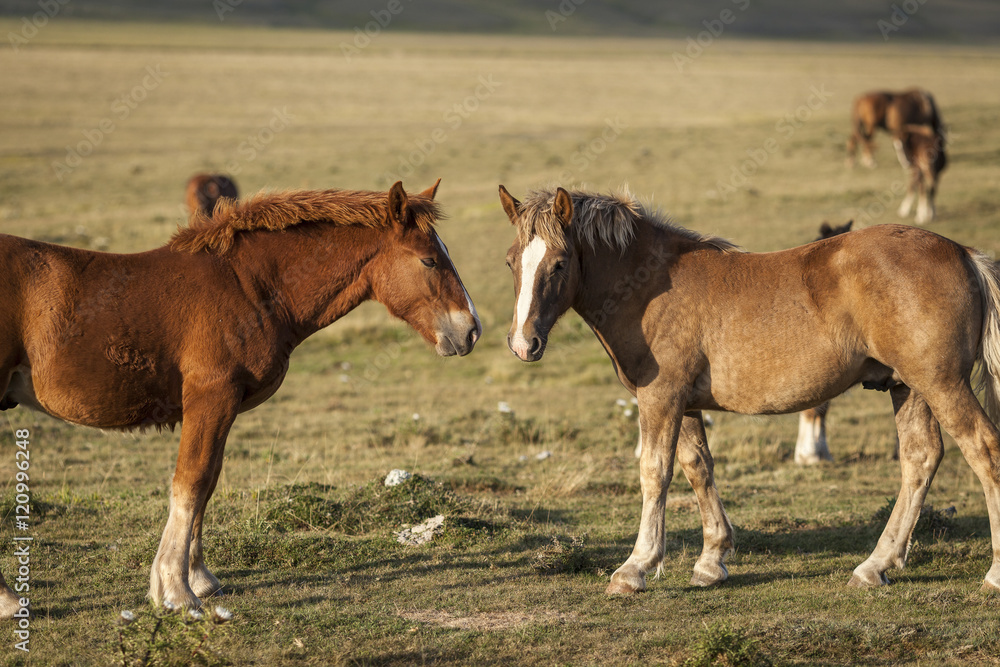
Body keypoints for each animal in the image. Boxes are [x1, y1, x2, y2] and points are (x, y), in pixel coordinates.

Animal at [0, 179, 480, 616]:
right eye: (429, 259)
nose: (471, 330)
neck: (247, 286)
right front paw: (175, 591)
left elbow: (208, 483)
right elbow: (191, 483)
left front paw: (198, 577)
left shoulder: (222, 408)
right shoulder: (211, 399)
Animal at [500, 185, 1000, 596]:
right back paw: (874, 566)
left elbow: (654, 473)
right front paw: (711, 561)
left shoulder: (660, 397)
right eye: (510, 262)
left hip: (940, 384)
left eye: (560, 263)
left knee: (983, 451)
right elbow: (697, 468)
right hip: (906, 386)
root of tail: (963, 253)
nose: (524, 344)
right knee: (920, 459)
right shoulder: (685, 404)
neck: (648, 287)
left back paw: (993, 575)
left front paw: (635, 567)